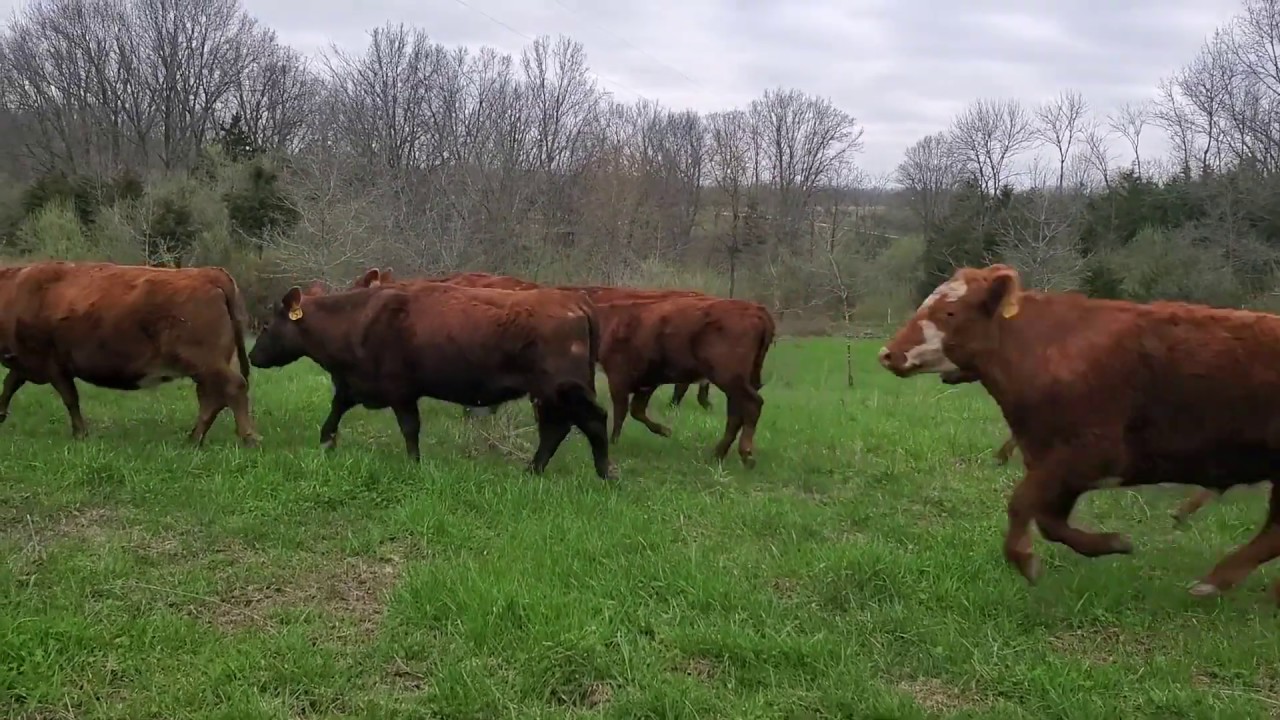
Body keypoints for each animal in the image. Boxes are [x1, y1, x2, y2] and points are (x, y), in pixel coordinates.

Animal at [0, 260, 258, 446]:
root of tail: (209, 273)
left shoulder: (53, 364)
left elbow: (70, 399)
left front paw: (81, 434)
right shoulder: (24, 363)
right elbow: (9, 386)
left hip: (205, 361)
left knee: (233, 387)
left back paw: (248, 438)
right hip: (208, 365)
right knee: (211, 398)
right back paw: (194, 439)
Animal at [246, 275, 613, 479]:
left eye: (267, 326)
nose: (251, 356)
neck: (357, 318)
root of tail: (574, 300)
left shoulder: (400, 391)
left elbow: (410, 429)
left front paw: (414, 464)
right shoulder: (356, 385)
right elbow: (335, 412)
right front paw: (326, 443)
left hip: (563, 388)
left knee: (592, 420)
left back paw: (606, 472)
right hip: (549, 393)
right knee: (556, 428)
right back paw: (533, 471)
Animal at [586, 293, 774, 468]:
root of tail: (756, 309)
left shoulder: (618, 379)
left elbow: (620, 413)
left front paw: (613, 443)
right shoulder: (647, 383)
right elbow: (636, 410)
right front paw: (665, 431)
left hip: (729, 378)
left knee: (752, 404)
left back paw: (745, 454)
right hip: (736, 383)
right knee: (736, 414)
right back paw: (718, 453)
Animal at [878, 262, 1280, 602]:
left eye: (949, 313)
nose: (888, 353)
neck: (1043, 351)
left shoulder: (1088, 455)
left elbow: (1021, 504)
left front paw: (1026, 560)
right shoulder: (1052, 464)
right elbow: (1049, 521)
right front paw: (1114, 543)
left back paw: (1213, 582)